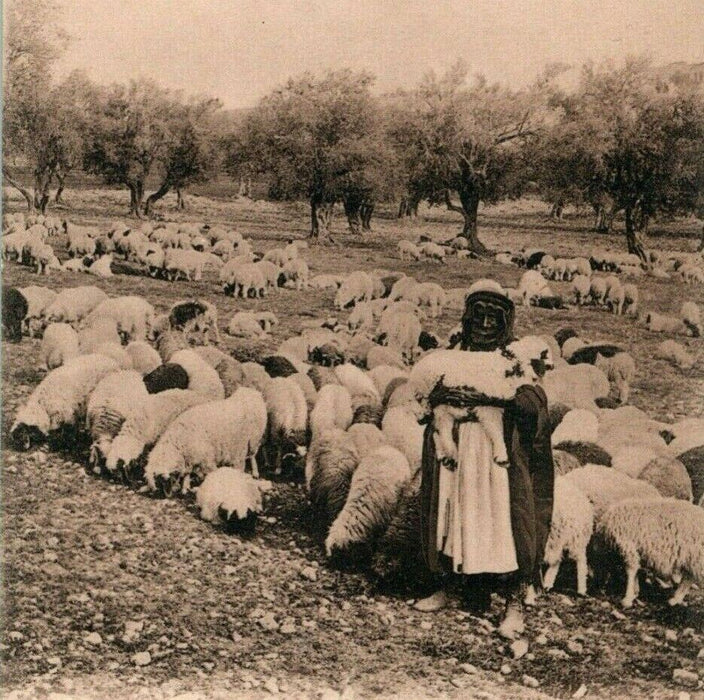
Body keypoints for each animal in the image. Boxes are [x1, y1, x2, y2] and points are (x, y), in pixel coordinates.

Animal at [410, 336, 552, 468]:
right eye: (544, 355)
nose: (552, 366)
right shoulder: (488, 407)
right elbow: (496, 430)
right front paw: (502, 456)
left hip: (443, 408)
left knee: (438, 429)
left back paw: (446, 455)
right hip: (429, 394)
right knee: (438, 425)